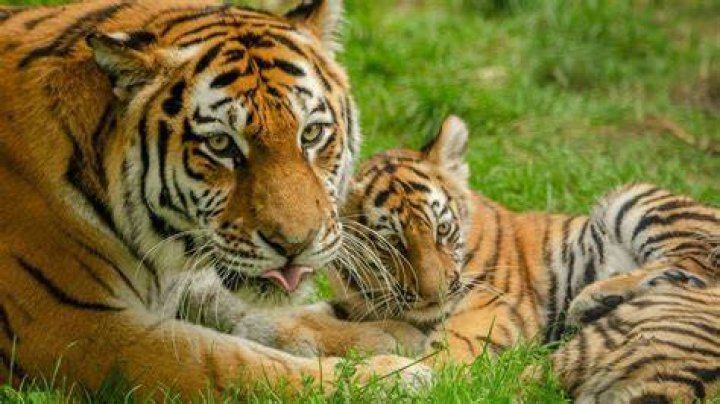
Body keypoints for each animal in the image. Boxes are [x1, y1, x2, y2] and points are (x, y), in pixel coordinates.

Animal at [0, 0, 430, 398]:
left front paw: (387, 334)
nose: (295, 245)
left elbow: (240, 308)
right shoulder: (76, 328)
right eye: (221, 144)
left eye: (310, 134)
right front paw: (394, 378)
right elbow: (231, 362)